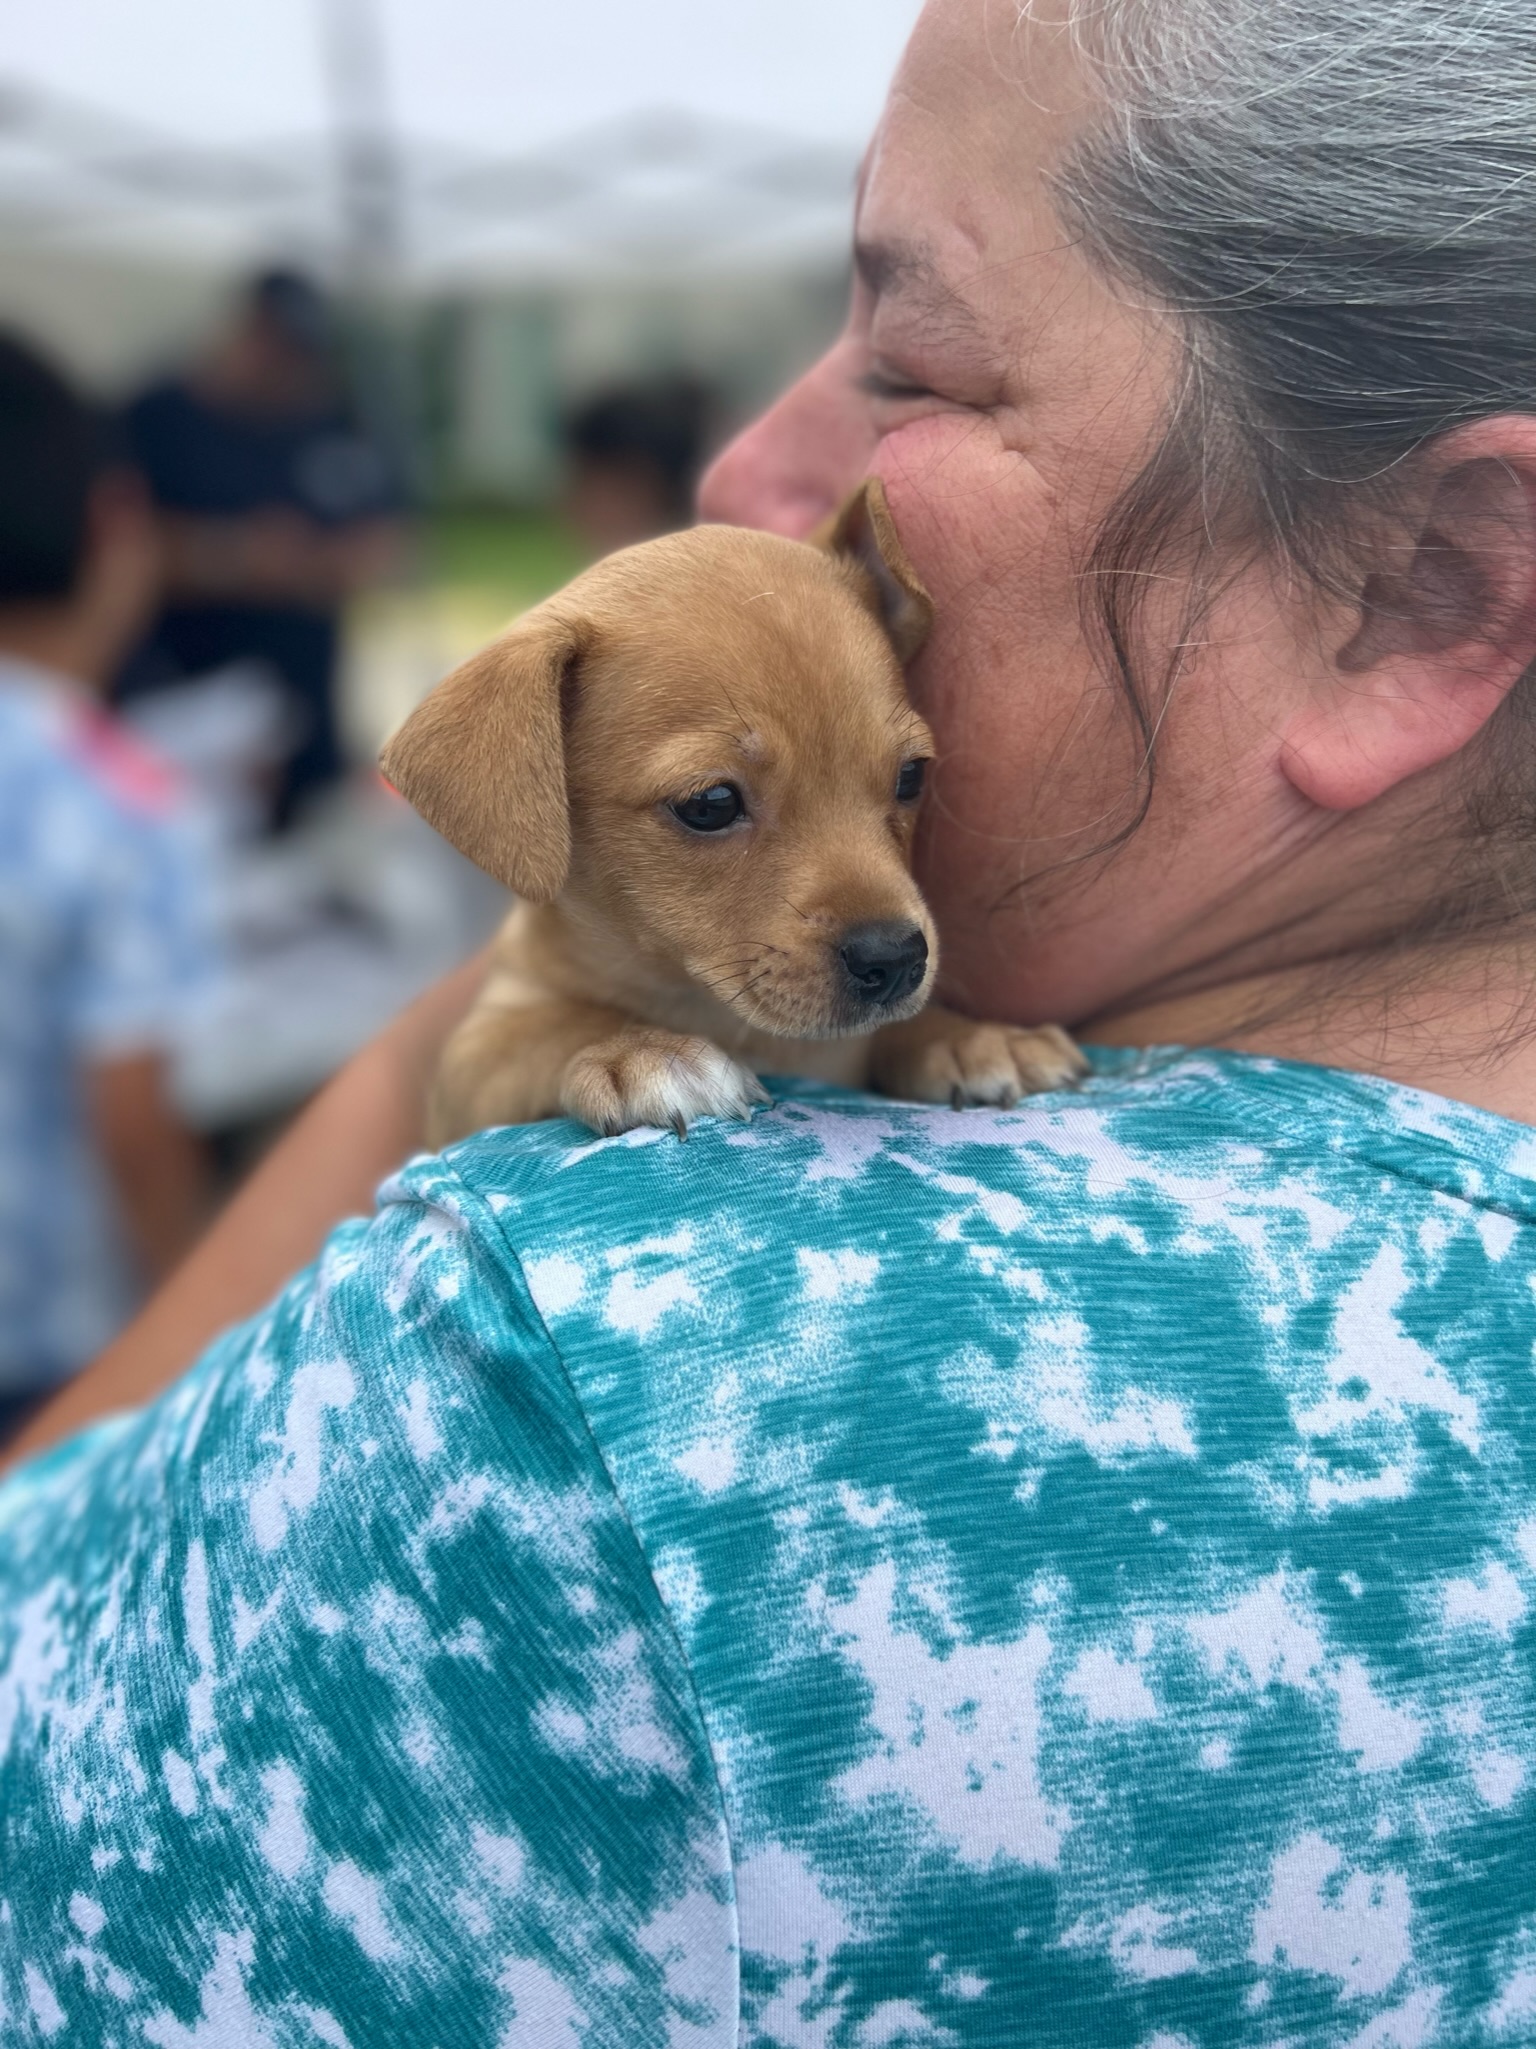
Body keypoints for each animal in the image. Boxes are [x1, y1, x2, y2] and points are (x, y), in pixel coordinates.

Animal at [382, 483, 1081, 1155]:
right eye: (710, 805)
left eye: (911, 777)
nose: (898, 958)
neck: (722, 1014)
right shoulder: (467, 1068)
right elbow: (552, 1025)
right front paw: (645, 1052)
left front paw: (974, 1037)